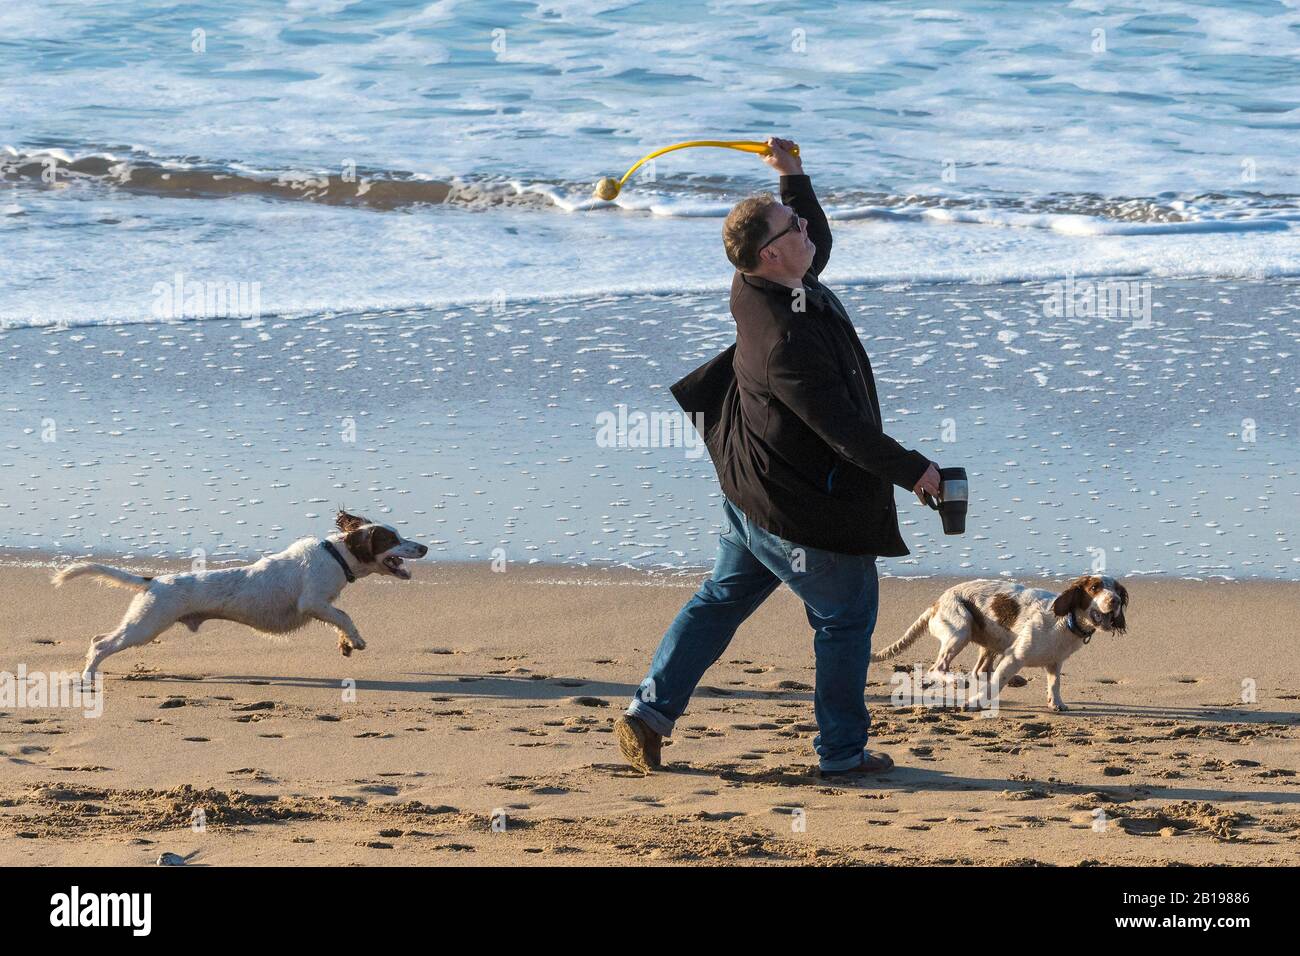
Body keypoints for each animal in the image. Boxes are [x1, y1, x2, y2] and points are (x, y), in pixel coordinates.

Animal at [54, 509, 426, 681]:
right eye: (392, 539)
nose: (424, 547)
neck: (335, 555)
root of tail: (154, 581)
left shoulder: (323, 605)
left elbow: (338, 619)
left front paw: (346, 644)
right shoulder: (312, 602)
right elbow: (344, 616)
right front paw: (356, 640)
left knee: (99, 638)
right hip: (147, 625)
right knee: (101, 643)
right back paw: (87, 677)